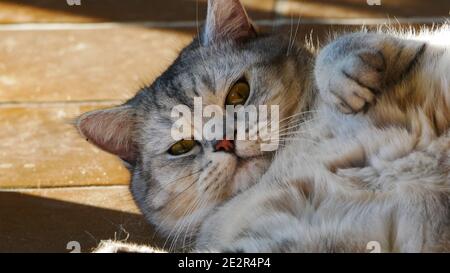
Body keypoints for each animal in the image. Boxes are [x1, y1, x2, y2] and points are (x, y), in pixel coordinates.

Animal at [77, 0, 450, 252]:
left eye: (238, 93)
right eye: (181, 147)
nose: (225, 142)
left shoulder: (426, 42)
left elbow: (337, 46)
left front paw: (343, 76)